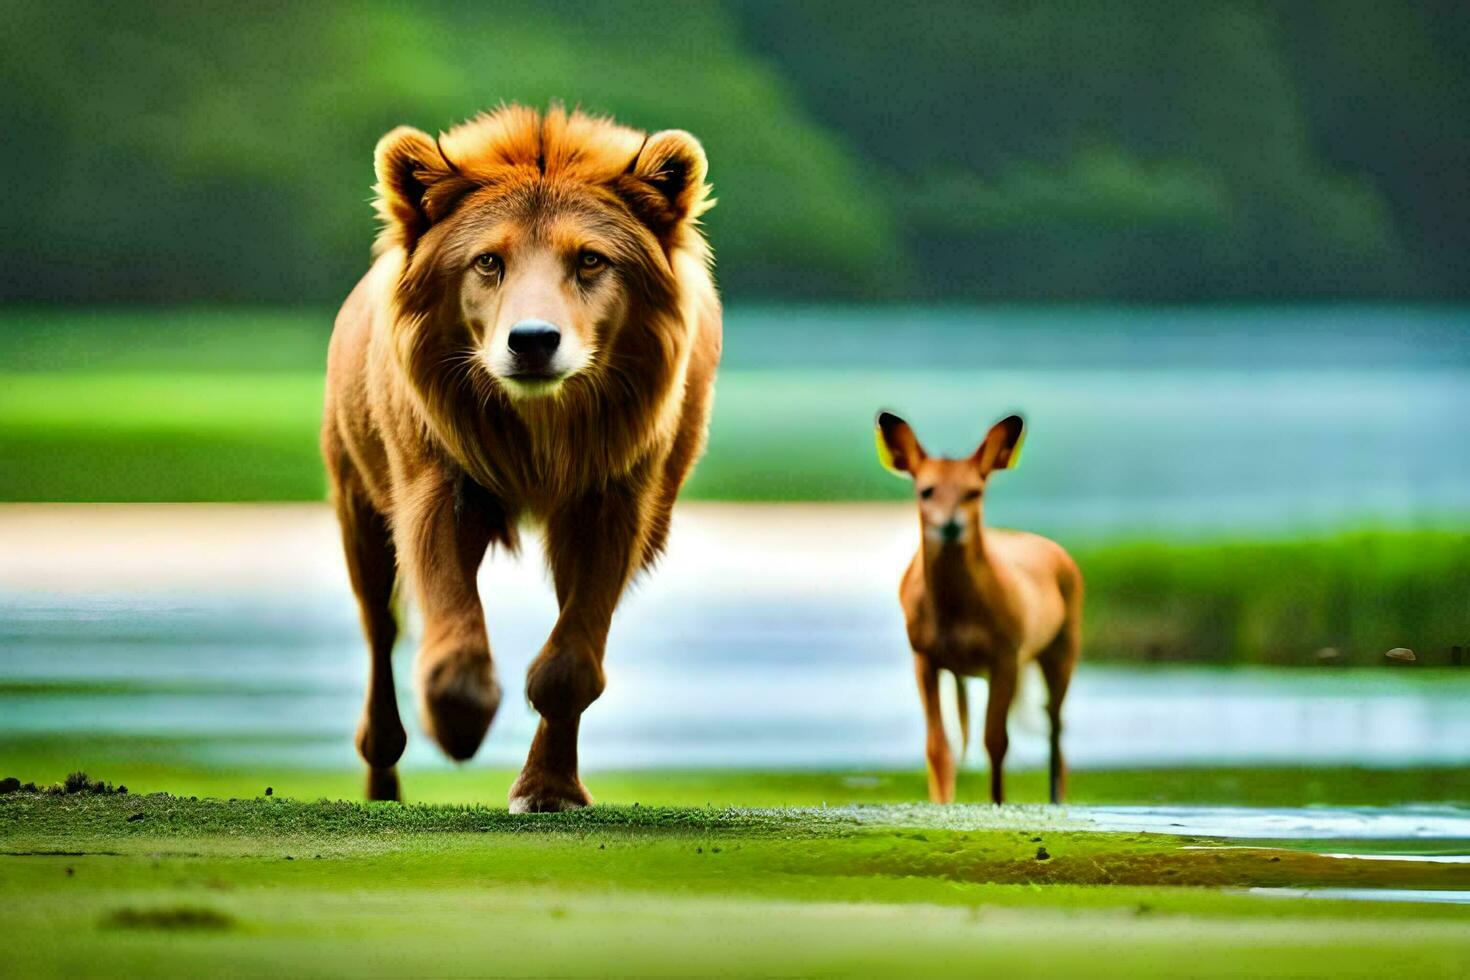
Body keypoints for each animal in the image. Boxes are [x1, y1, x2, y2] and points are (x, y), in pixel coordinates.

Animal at [318, 105, 720, 811]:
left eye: (590, 259)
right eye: (488, 261)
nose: (532, 340)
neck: (541, 430)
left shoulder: (615, 488)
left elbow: (573, 657)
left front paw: (548, 787)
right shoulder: (439, 468)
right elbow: (443, 587)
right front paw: (459, 717)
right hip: (355, 486)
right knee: (378, 622)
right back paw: (383, 763)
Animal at [870, 411, 1081, 799]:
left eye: (974, 492)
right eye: (926, 491)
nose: (950, 525)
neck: (955, 615)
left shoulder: (1006, 652)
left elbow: (996, 743)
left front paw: (997, 803)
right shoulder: (923, 655)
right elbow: (937, 747)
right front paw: (942, 804)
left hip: (1063, 645)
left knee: (1056, 736)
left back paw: (1055, 800)